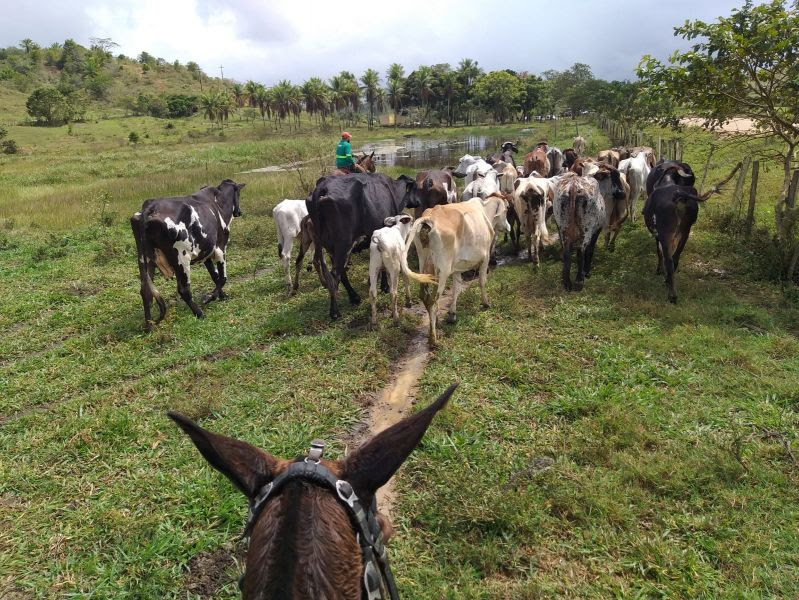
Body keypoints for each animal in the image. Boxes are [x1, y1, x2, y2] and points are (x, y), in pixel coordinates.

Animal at [129, 179, 244, 328]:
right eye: (239, 194)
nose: (239, 212)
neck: (219, 202)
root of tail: (149, 208)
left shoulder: (206, 252)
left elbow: (215, 276)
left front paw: (221, 296)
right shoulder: (220, 248)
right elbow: (222, 278)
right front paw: (209, 298)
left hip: (145, 260)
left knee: (145, 292)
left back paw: (149, 326)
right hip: (181, 258)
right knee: (184, 290)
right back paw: (199, 313)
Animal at [306, 172, 418, 318]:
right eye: (416, 187)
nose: (418, 202)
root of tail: (322, 186)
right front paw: (385, 286)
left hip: (330, 248)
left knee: (340, 273)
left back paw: (354, 297)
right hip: (343, 245)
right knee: (335, 274)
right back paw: (334, 311)